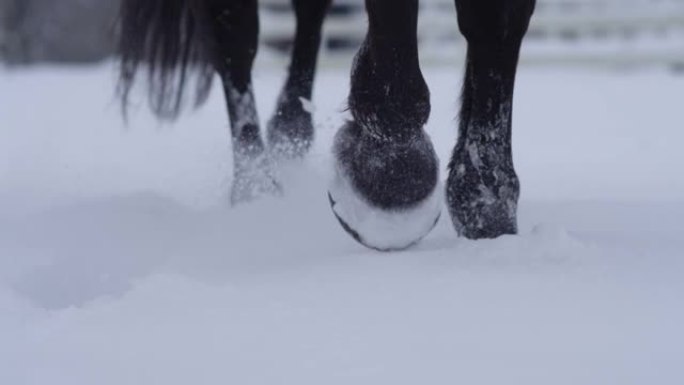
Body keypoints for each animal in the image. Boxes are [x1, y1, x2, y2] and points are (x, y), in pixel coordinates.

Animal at [119, 0, 536, 250]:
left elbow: (495, 21)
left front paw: (485, 204)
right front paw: (394, 179)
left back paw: (289, 130)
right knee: (235, 36)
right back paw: (256, 188)